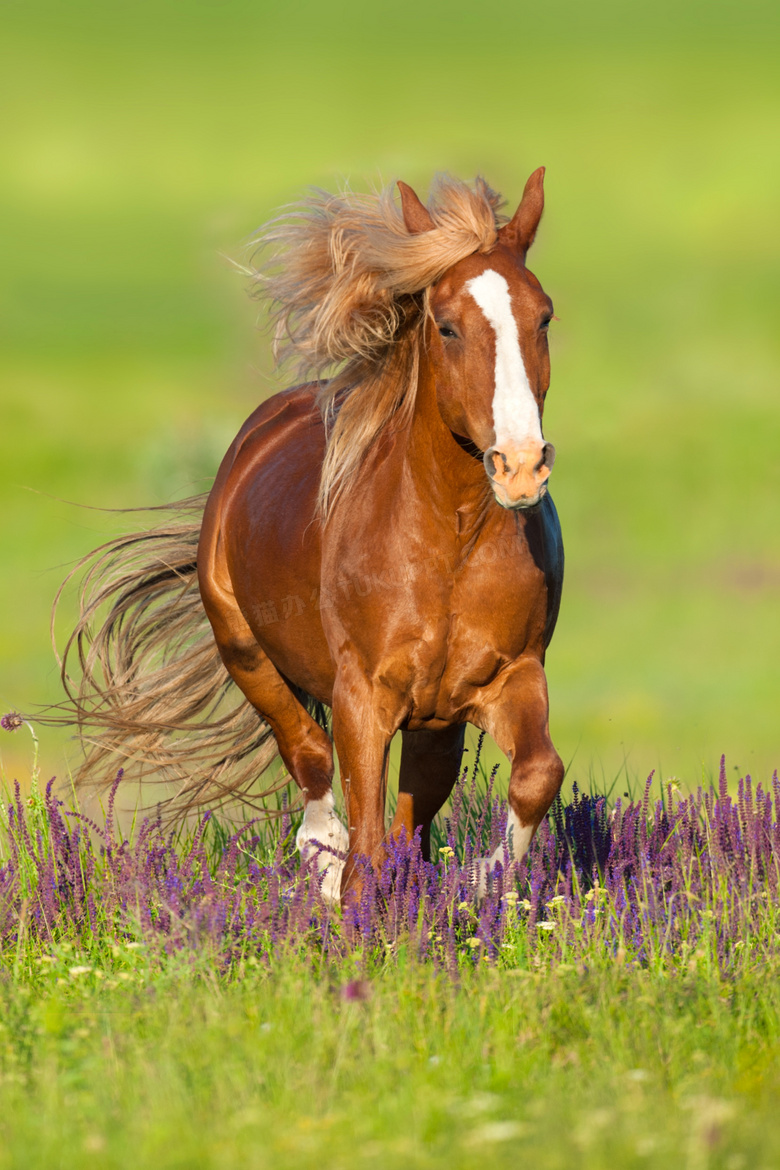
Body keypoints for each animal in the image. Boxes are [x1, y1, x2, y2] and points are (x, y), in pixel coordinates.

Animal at [57, 167, 563, 903]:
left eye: (543, 317)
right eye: (446, 327)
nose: (520, 467)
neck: (450, 539)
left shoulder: (511, 674)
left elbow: (535, 776)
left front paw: (481, 884)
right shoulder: (363, 695)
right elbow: (363, 841)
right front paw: (353, 890)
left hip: (434, 719)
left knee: (409, 810)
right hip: (246, 652)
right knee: (309, 755)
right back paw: (319, 860)